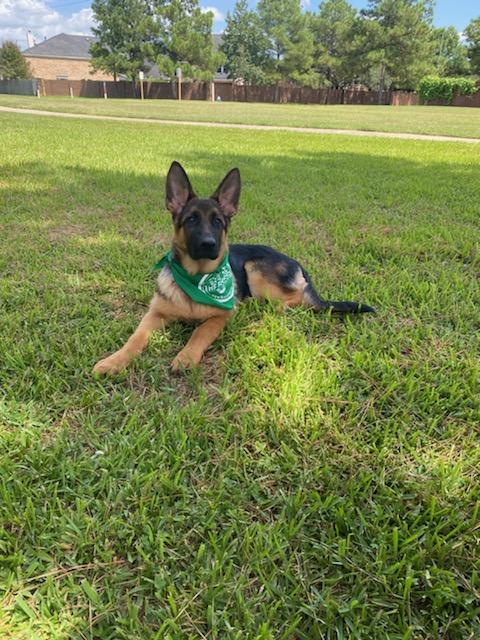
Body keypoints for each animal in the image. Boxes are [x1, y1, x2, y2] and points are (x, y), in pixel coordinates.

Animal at [93, 161, 374, 375]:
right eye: (191, 220)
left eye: (217, 221)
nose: (209, 244)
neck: (196, 278)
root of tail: (299, 266)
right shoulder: (155, 315)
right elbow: (135, 338)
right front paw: (113, 361)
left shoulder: (220, 316)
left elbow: (200, 332)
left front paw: (186, 357)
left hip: (255, 269)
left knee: (293, 300)